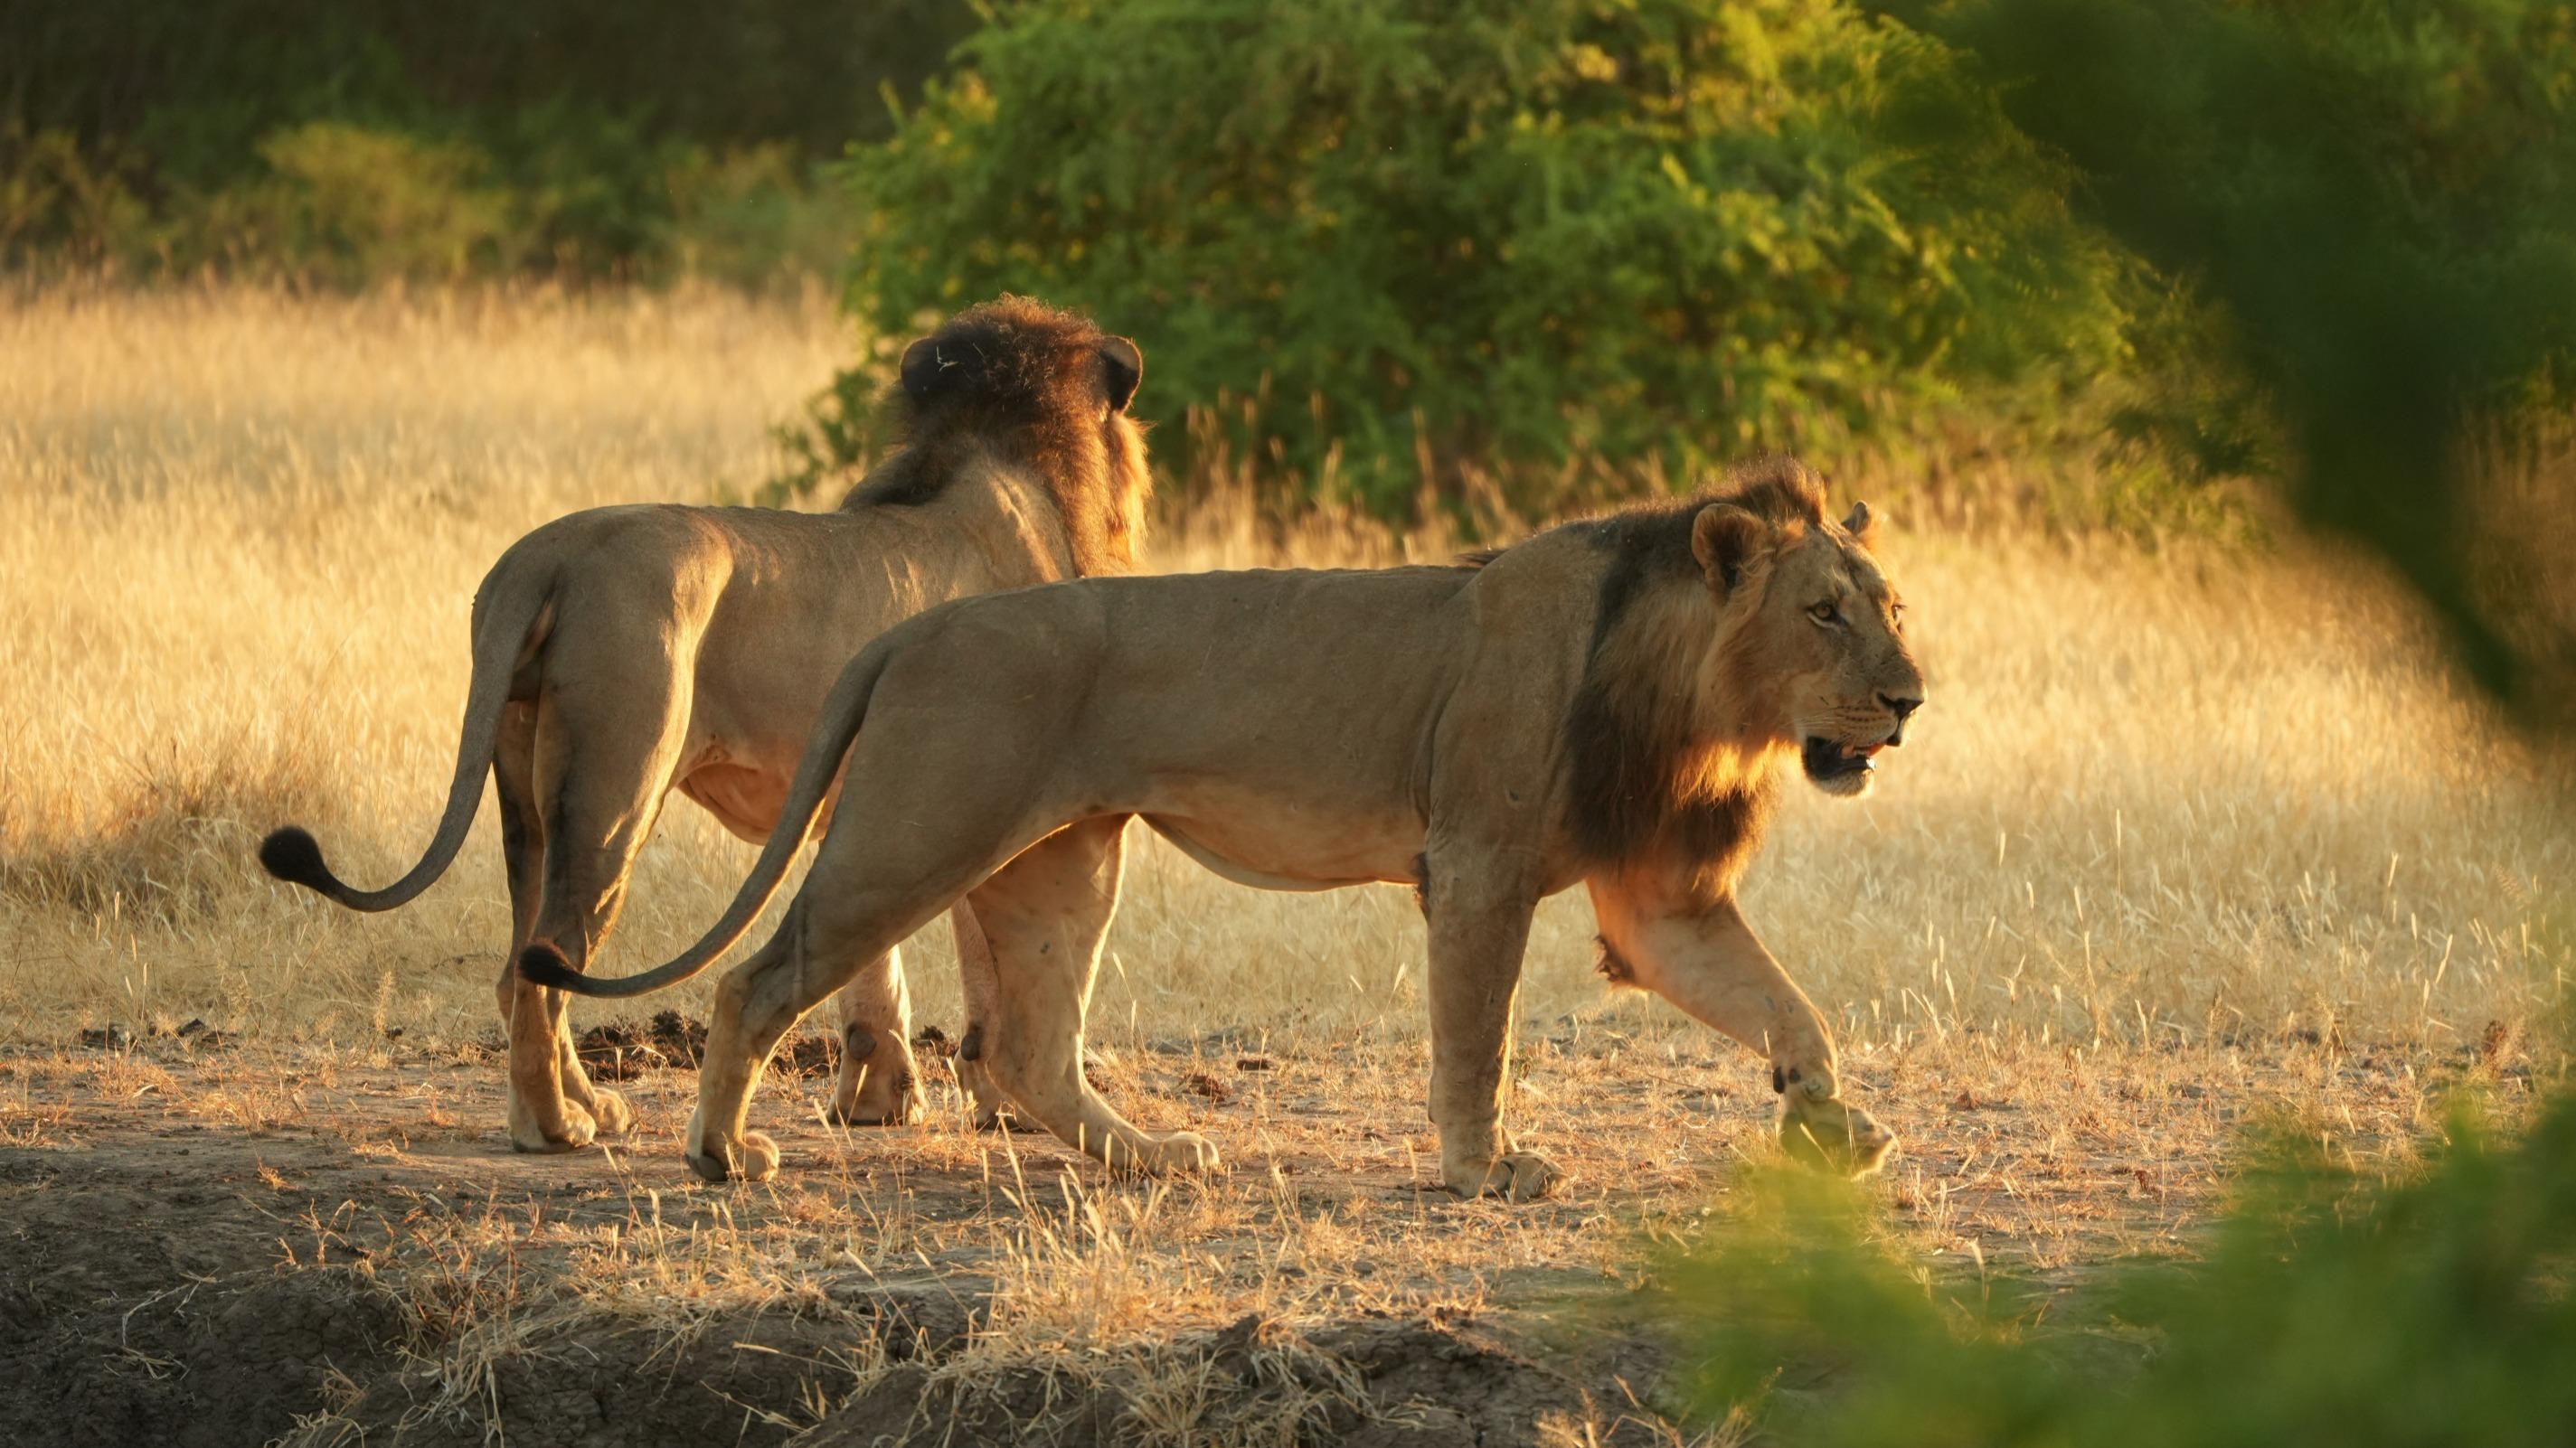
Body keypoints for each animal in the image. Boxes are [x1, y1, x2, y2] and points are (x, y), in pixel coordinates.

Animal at [259, 293, 1148, 1149]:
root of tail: (545, 555)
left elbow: (875, 974)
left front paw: (876, 1102)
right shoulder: (985, 792)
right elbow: (985, 970)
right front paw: (997, 1105)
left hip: (525, 795)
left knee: (524, 964)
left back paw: (592, 1107)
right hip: (616, 789)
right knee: (541, 970)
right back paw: (552, 1128)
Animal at [523, 458, 1927, 1195]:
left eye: (1892, 606)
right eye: (1820, 613)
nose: (1910, 699)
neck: (1696, 699)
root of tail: (916, 628)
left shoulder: (1655, 896)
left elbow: (1788, 1008)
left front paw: (1832, 1124)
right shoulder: (1476, 863)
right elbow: (1475, 1037)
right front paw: (1482, 1167)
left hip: (1062, 861)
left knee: (1029, 1048)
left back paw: (1155, 1154)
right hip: (917, 833)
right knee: (759, 979)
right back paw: (721, 1150)